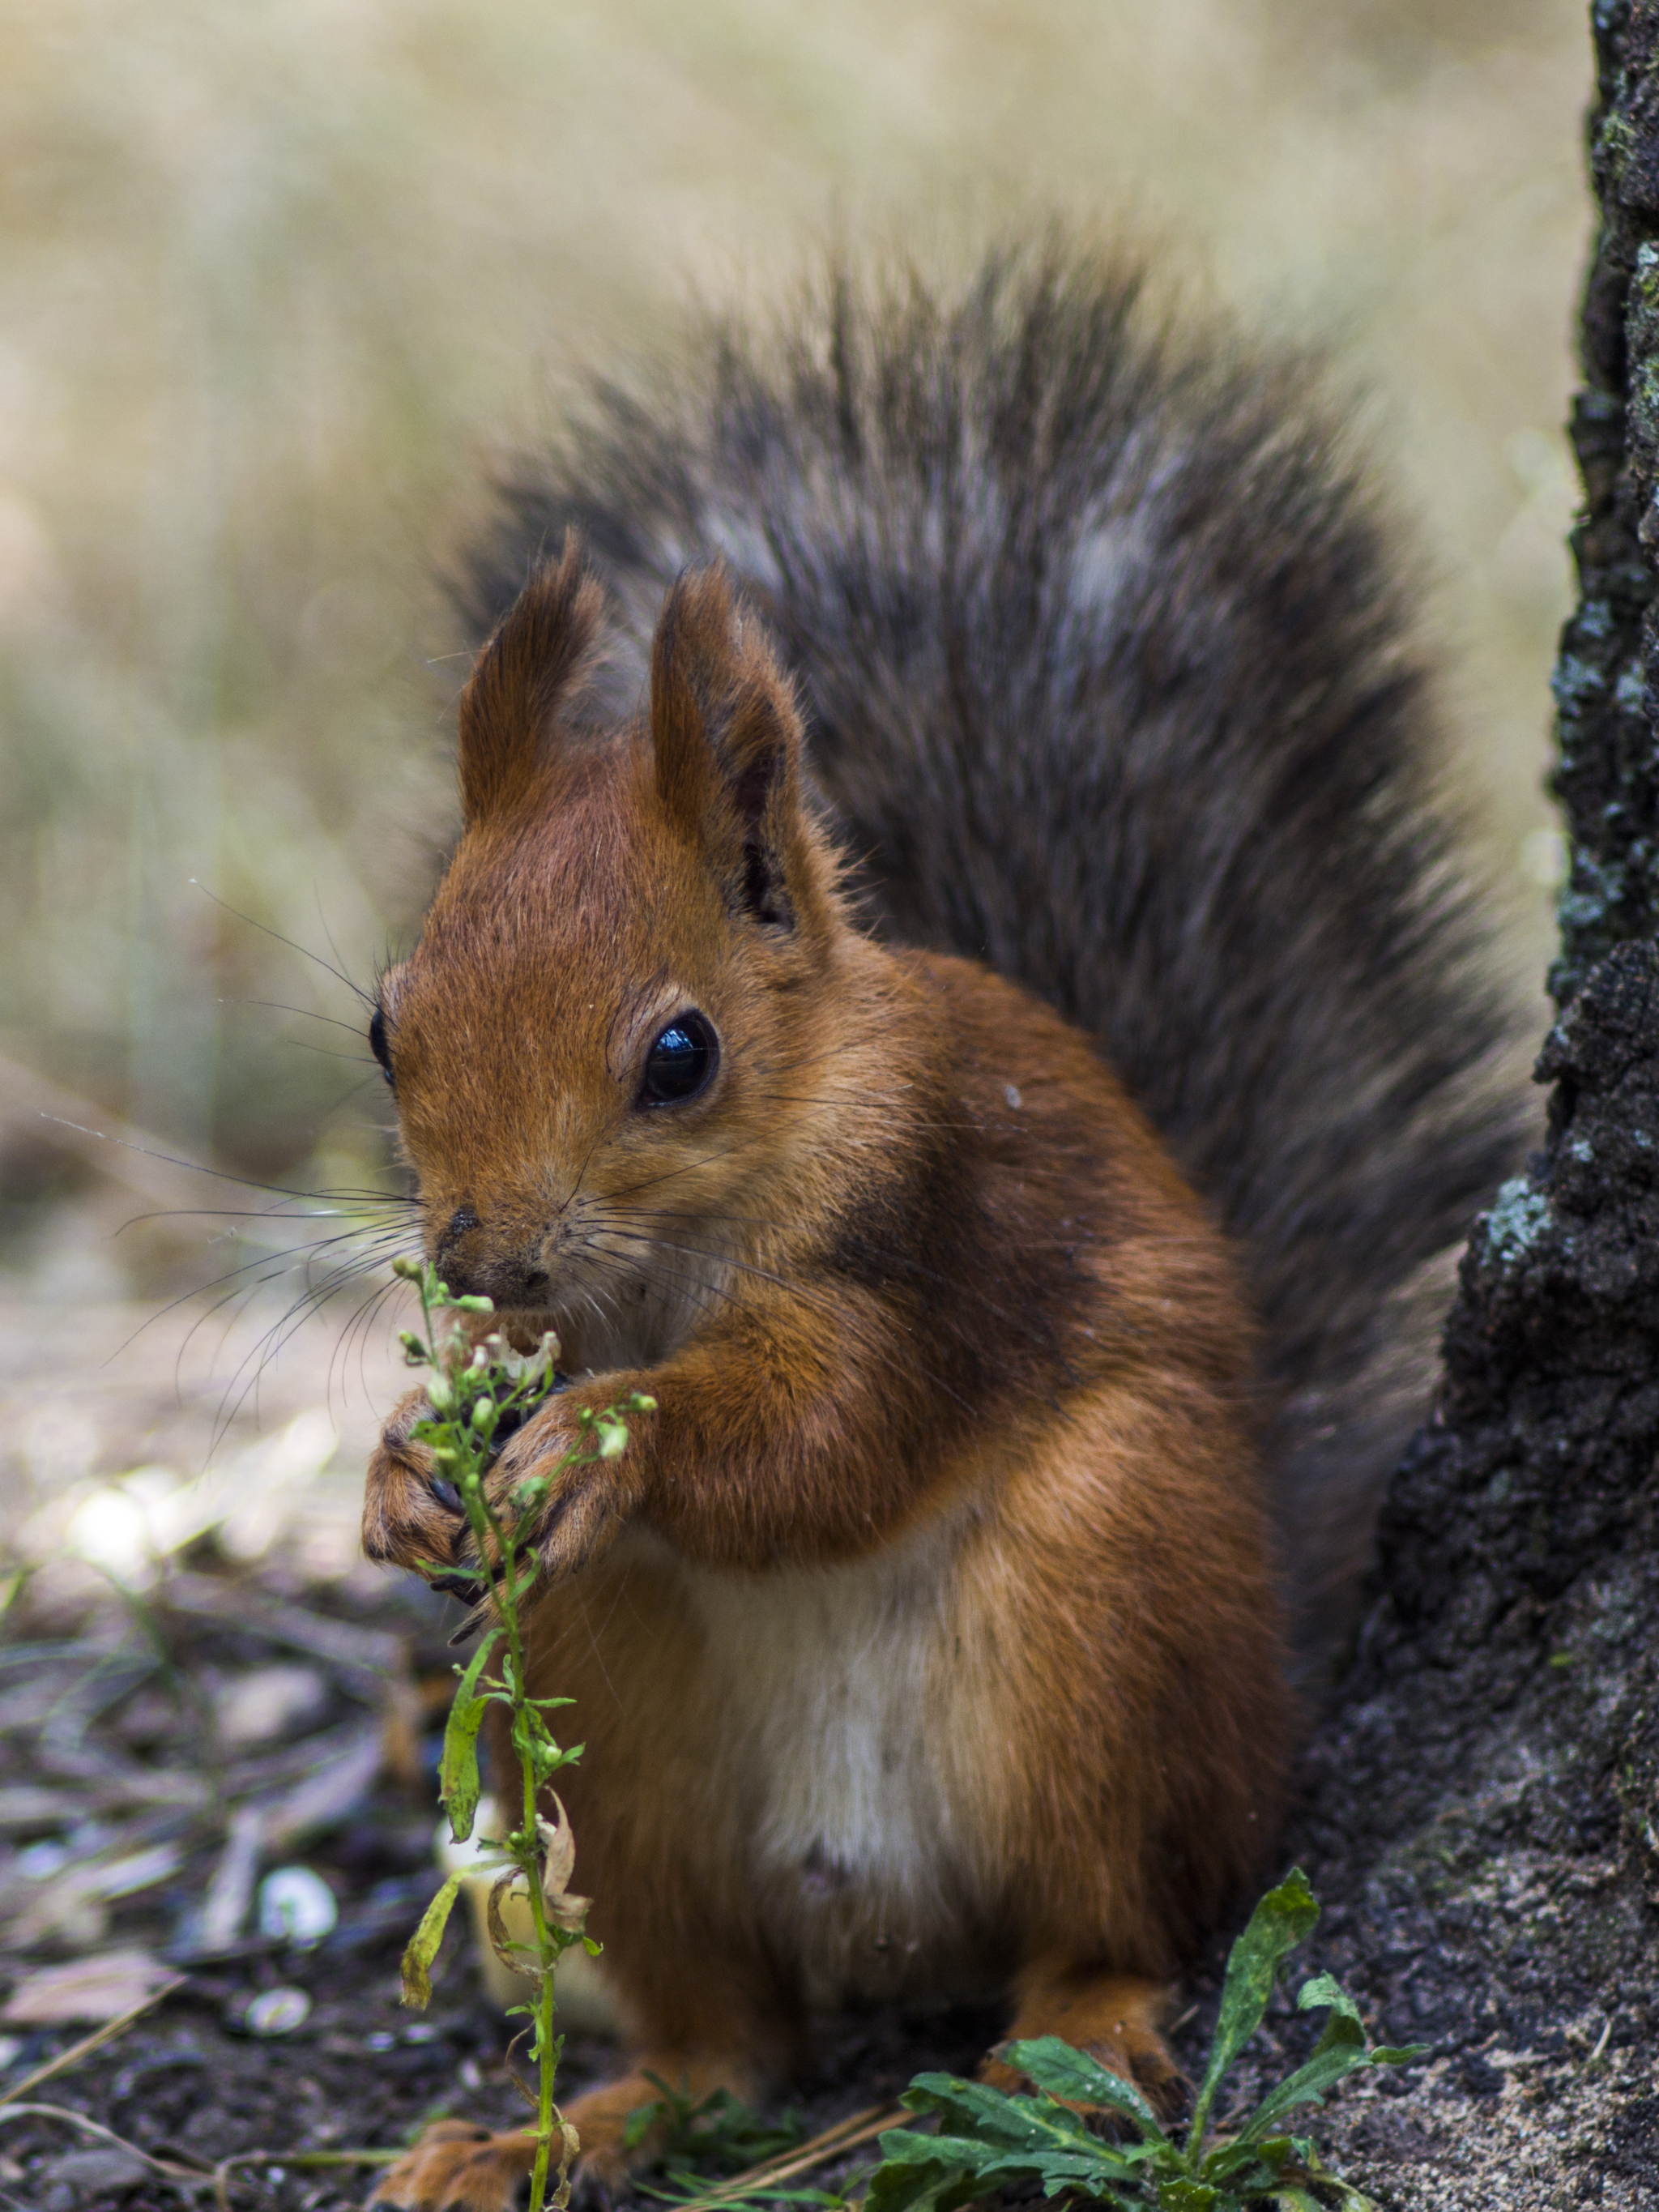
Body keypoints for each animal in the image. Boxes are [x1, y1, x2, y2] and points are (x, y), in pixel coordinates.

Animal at [358, 246, 1530, 2212]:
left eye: (679, 1055)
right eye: (386, 1023)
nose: (474, 1257)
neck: (665, 1266)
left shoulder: (935, 1239)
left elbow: (830, 1436)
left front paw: (601, 1442)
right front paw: (398, 1472)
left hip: (1114, 1601)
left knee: (1124, 1916)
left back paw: (1075, 2045)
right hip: (623, 1744)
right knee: (724, 2046)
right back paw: (556, 2131)